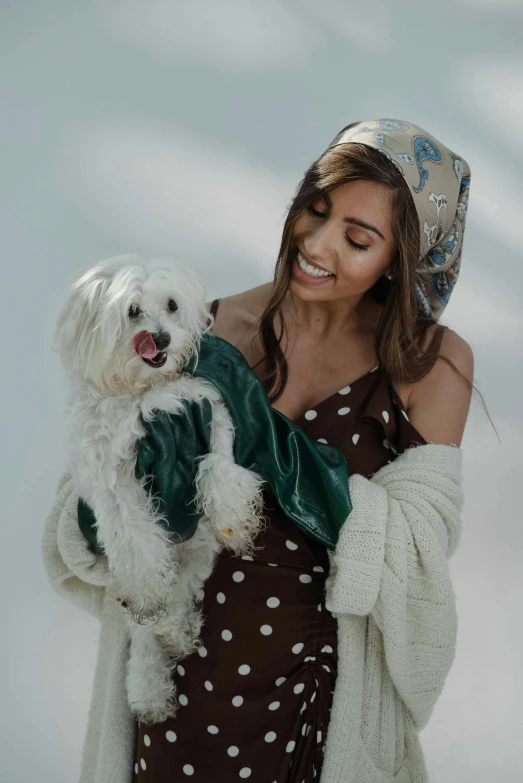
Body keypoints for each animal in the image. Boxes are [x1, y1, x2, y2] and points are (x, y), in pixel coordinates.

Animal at [54, 254, 266, 724]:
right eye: (132, 311)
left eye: (171, 305)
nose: (162, 338)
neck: (143, 393)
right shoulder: (112, 480)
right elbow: (137, 543)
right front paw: (149, 593)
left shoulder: (207, 414)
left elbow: (219, 466)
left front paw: (234, 516)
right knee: (149, 623)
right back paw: (150, 684)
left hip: (197, 554)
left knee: (180, 595)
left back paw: (179, 633)